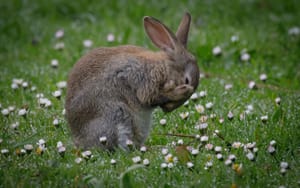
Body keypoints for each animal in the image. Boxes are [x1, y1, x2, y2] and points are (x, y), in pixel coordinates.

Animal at [65, 12, 199, 151]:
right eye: (187, 80)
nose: (168, 109)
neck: (164, 67)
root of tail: (79, 141)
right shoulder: (141, 79)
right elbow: (150, 96)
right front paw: (181, 90)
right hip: (116, 115)